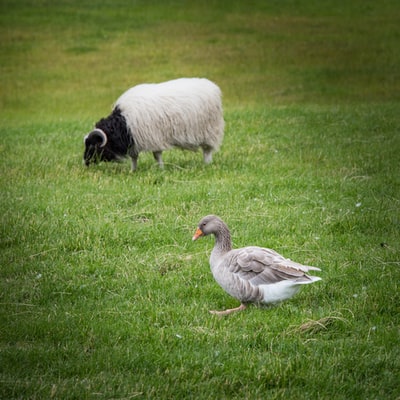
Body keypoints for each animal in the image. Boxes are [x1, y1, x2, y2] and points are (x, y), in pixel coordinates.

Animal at [82, 77, 223, 170]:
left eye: (92, 146)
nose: (85, 162)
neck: (123, 123)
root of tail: (212, 87)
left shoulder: (154, 138)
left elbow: (157, 155)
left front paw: (160, 169)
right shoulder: (134, 140)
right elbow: (134, 157)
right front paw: (133, 170)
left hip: (209, 130)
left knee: (207, 150)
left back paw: (207, 164)